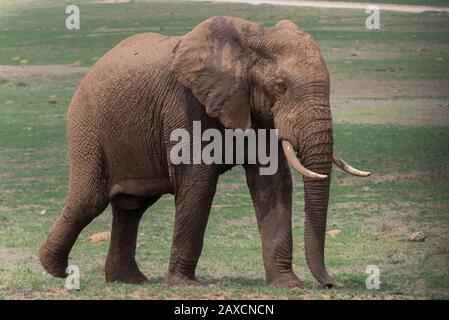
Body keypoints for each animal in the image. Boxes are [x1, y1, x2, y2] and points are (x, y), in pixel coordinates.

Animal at [37, 16, 368, 288]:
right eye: (279, 86)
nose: (331, 284)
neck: (253, 38)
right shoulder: (186, 103)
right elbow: (199, 182)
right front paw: (185, 285)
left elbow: (273, 183)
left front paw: (288, 285)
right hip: (87, 126)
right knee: (89, 201)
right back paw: (57, 270)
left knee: (132, 207)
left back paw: (128, 281)